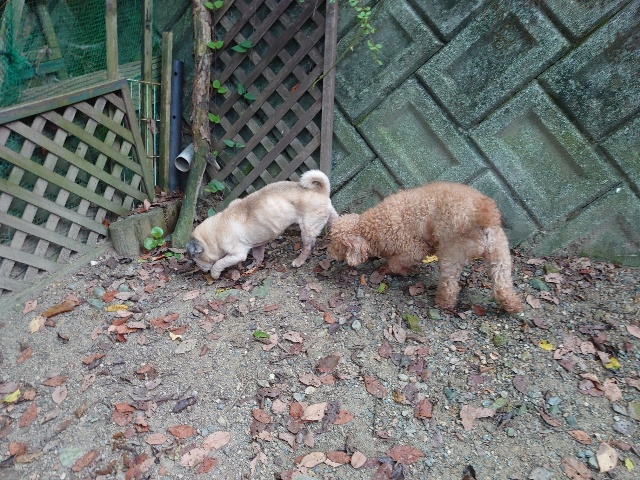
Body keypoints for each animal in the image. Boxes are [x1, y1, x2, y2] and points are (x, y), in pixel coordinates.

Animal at [187, 170, 338, 279]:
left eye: (196, 260)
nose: (201, 270)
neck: (215, 232)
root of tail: (320, 191)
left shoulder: (237, 254)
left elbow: (219, 262)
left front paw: (215, 273)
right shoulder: (257, 245)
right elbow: (258, 255)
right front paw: (254, 266)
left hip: (307, 228)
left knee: (308, 246)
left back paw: (299, 261)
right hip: (331, 218)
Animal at [327, 182, 523, 313]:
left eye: (337, 245)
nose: (328, 253)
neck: (370, 227)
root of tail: (481, 216)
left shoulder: (414, 249)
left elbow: (395, 263)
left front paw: (402, 270)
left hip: (452, 254)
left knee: (450, 285)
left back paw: (443, 302)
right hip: (500, 254)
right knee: (503, 285)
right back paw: (513, 305)